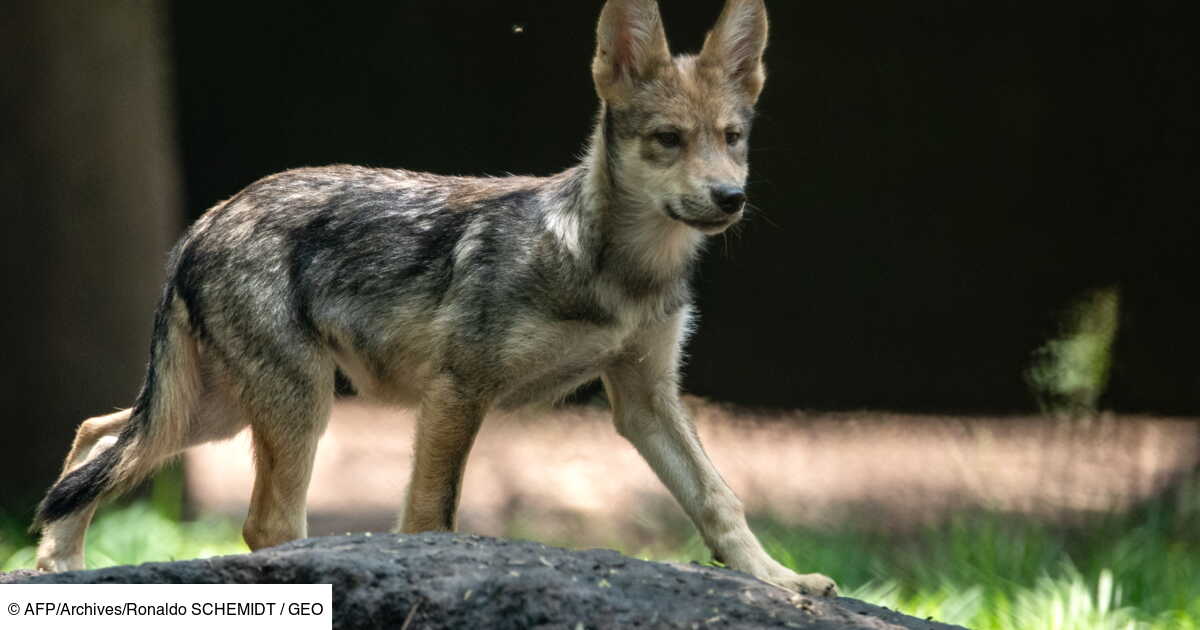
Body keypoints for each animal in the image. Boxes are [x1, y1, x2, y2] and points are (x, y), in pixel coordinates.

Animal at [32, 0, 836, 596]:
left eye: (732, 138)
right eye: (669, 139)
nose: (730, 198)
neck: (619, 273)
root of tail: (203, 222)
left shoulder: (646, 400)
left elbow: (718, 498)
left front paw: (781, 581)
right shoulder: (457, 391)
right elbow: (430, 517)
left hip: (215, 413)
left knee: (94, 439)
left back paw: (56, 568)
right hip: (290, 408)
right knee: (263, 523)